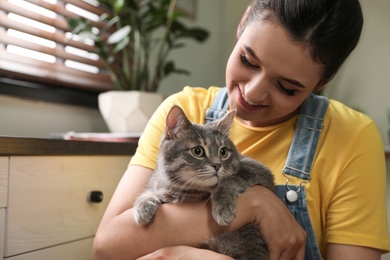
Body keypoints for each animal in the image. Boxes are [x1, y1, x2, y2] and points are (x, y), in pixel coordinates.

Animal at [133, 104, 274, 258]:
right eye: (197, 151)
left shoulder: (259, 171)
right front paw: (143, 209)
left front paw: (223, 206)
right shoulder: (157, 185)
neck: (185, 190)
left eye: (223, 152)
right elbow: (147, 193)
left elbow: (229, 179)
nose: (217, 165)